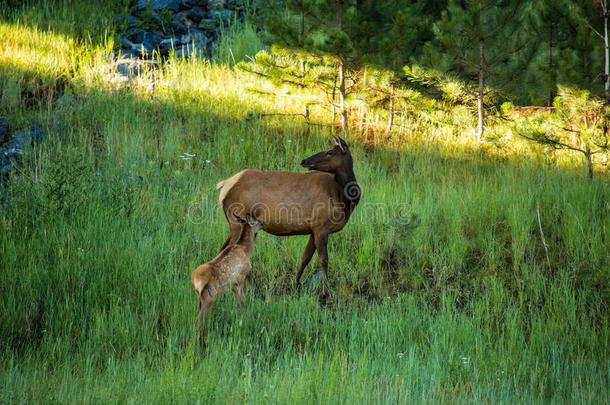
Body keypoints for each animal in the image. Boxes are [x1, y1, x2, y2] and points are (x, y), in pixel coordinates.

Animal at [215, 136, 358, 296]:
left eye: (330, 152)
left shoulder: (313, 228)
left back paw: (254, 288)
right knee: (226, 250)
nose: (304, 161)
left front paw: (295, 284)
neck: (344, 200)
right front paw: (325, 293)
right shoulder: (321, 225)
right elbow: (324, 259)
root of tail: (223, 185)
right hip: (236, 221)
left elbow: (305, 258)